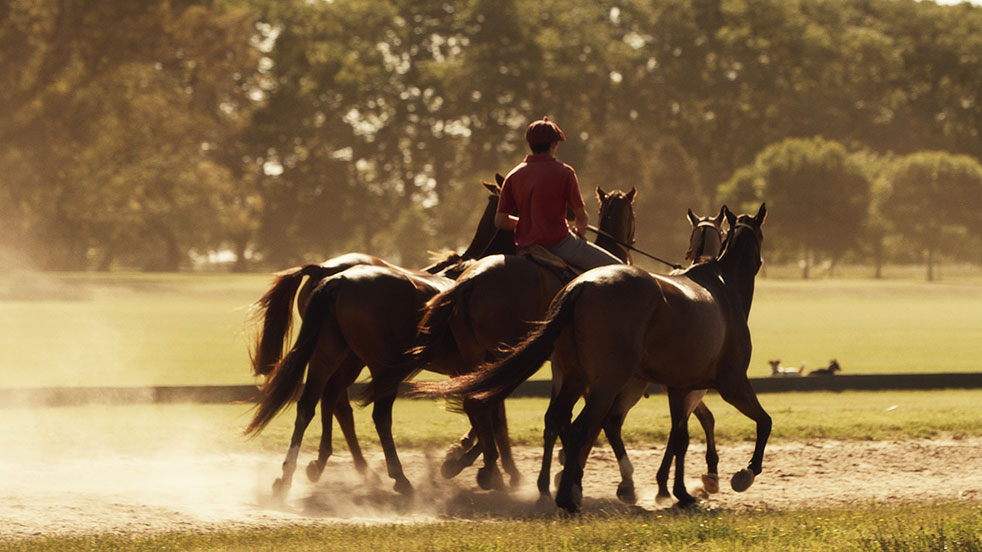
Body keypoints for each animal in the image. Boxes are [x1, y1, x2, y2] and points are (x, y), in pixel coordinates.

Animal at [418, 205, 772, 512]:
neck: (719, 287)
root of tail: (581, 285)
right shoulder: (730, 383)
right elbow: (761, 421)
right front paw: (741, 473)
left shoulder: (681, 387)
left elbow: (683, 435)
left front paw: (681, 490)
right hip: (607, 382)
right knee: (581, 424)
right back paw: (561, 489)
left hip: (572, 375)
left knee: (547, 416)